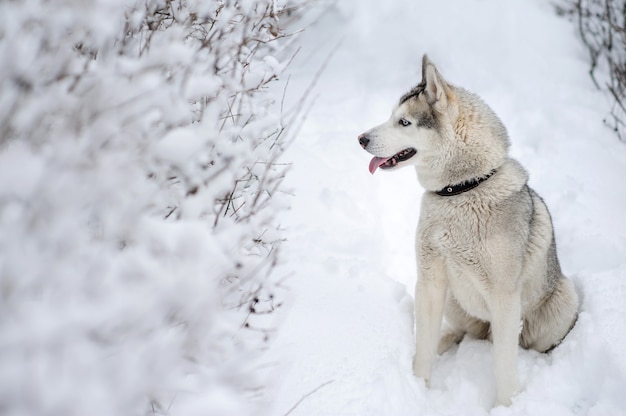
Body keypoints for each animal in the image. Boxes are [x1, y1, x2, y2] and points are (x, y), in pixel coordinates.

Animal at [358, 54, 576, 406]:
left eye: (404, 123)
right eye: (392, 117)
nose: (361, 138)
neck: (462, 190)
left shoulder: (504, 299)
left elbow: (504, 368)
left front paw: (505, 407)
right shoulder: (430, 283)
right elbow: (422, 351)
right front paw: (418, 388)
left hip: (563, 301)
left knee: (528, 346)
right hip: (452, 300)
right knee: (459, 333)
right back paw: (446, 341)